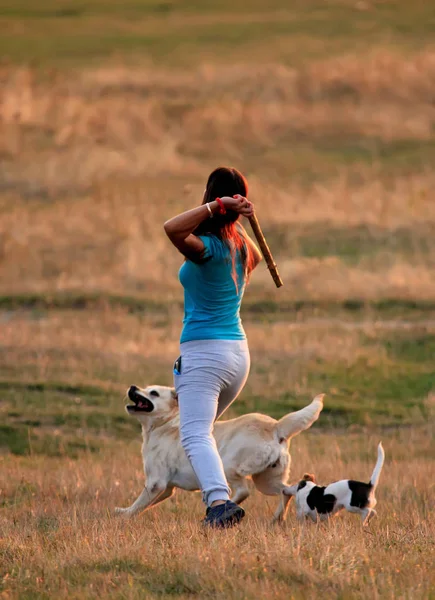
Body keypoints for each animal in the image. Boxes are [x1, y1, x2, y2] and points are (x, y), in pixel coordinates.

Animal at [114, 386, 326, 524]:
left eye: (153, 393)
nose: (133, 387)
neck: (165, 424)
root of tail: (276, 426)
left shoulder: (156, 483)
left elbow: (139, 503)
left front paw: (124, 516)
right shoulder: (166, 488)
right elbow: (145, 505)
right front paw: (125, 512)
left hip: (229, 467)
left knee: (243, 491)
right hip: (266, 480)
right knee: (288, 489)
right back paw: (277, 518)